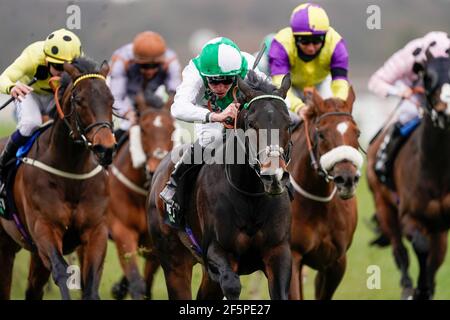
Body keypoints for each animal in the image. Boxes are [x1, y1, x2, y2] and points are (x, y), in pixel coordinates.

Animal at [0, 58, 117, 300]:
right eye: (79, 100)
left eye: (111, 100)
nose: (106, 148)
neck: (72, 173)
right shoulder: (44, 227)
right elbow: (62, 271)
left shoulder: (96, 230)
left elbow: (91, 282)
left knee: (33, 289)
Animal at [106, 93, 175, 300]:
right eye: (143, 129)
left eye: (172, 128)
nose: (154, 169)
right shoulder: (122, 231)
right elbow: (137, 283)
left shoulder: (155, 245)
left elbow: (146, 285)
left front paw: (119, 288)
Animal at [149, 72, 294, 300]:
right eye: (251, 123)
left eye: (288, 123)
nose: (274, 177)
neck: (250, 196)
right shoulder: (216, 251)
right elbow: (232, 285)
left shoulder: (278, 251)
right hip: (174, 261)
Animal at [368, 53, 450, 300]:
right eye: (427, 78)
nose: (445, 111)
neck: (436, 169)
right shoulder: (408, 216)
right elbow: (420, 247)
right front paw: (418, 289)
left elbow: (433, 259)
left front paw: (427, 288)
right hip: (384, 207)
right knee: (400, 250)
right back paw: (407, 287)